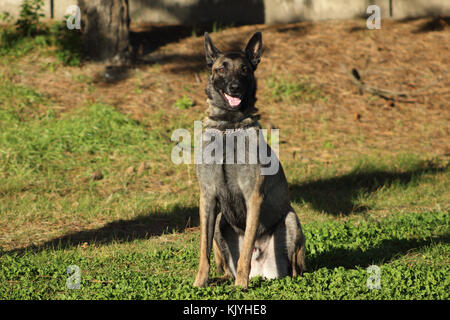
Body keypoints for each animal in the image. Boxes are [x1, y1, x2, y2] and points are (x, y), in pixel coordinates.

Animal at [193, 31, 306, 288]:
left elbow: (244, 252)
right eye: (221, 69)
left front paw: (241, 286)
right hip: (219, 223)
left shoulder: (253, 196)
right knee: (225, 265)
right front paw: (199, 282)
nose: (234, 87)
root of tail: (262, 273)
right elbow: (203, 250)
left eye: (244, 69)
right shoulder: (207, 197)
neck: (228, 127)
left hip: (291, 219)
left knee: (295, 268)